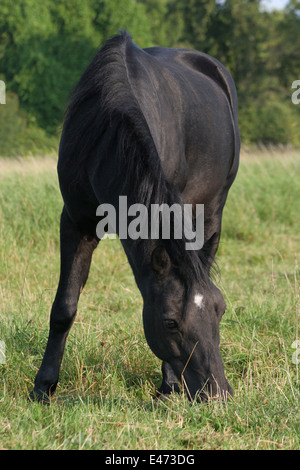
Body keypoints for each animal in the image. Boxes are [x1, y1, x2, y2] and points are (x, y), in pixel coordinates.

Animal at [29, 31, 239, 402]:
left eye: (220, 310)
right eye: (170, 322)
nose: (218, 393)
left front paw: (169, 386)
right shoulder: (76, 222)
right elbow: (64, 307)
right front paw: (43, 386)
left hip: (212, 210)